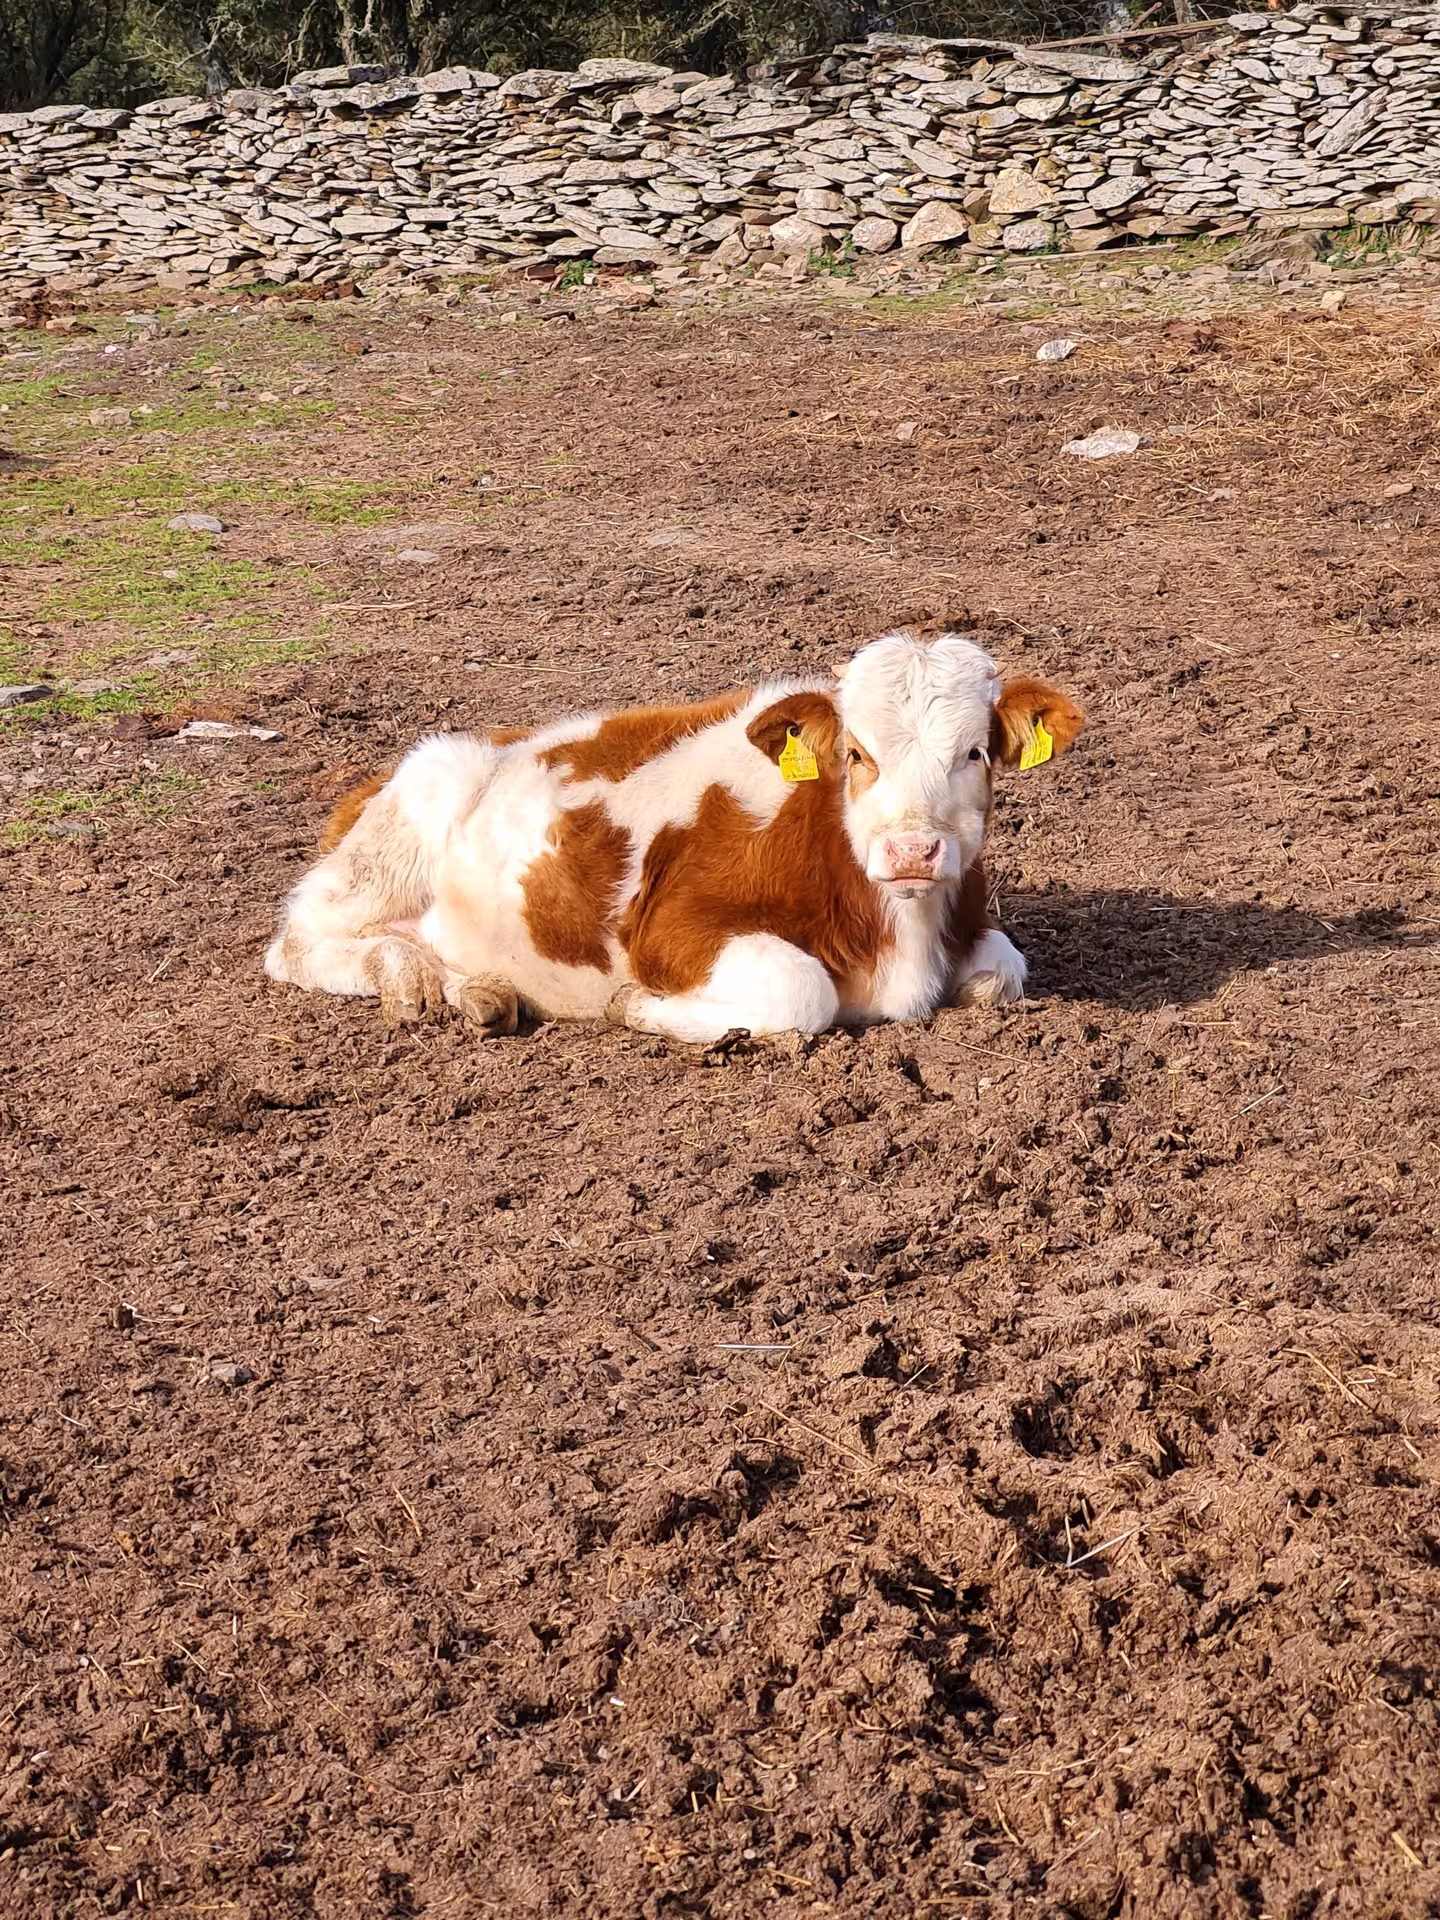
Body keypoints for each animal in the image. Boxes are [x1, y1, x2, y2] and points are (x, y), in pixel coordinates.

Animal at [263, 627, 1083, 1044]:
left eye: (974, 752)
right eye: (856, 754)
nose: (912, 851)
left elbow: (1004, 970)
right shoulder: (670, 930)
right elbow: (802, 990)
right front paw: (636, 1007)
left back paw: (476, 991)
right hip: (391, 842)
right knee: (298, 945)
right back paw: (408, 975)